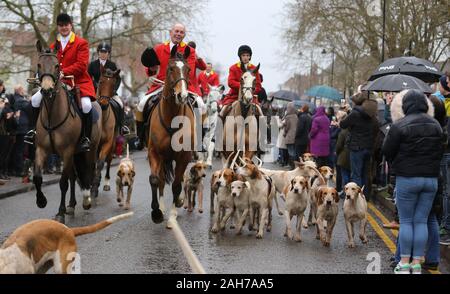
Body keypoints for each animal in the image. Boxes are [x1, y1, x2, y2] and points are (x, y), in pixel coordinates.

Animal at [33, 39, 102, 223]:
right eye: (39, 65)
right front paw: (41, 201)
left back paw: (86, 200)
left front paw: (60, 213)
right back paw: (72, 205)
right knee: (73, 176)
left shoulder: (67, 151)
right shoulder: (41, 149)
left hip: (89, 150)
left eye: (57, 65)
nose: (47, 90)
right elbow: (37, 177)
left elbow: (62, 183)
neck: (52, 113)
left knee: (89, 170)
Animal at [147, 44, 194, 226]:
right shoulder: (154, 153)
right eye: (170, 68)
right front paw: (156, 213)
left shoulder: (183, 156)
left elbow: (176, 185)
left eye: (188, 69)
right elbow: (155, 179)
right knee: (160, 180)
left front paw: (172, 215)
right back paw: (160, 206)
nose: (182, 96)